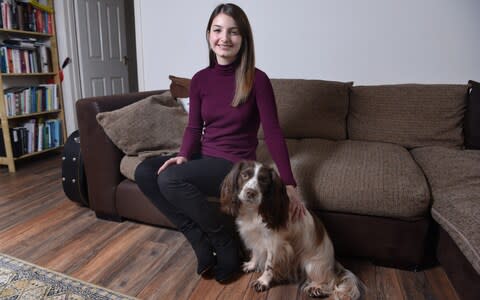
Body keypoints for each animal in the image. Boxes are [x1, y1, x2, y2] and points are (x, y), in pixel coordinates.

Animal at [219, 161, 362, 298]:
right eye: (244, 175)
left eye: (263, 180)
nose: (250, 192)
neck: (254, 211)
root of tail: (333, 263)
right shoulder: (255, 237)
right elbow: (255, 252)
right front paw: (251, 265)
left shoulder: (275, 244)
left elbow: (269, 265)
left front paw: (262, 282)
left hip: (311, 264)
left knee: (330, 280)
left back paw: (317, 288)